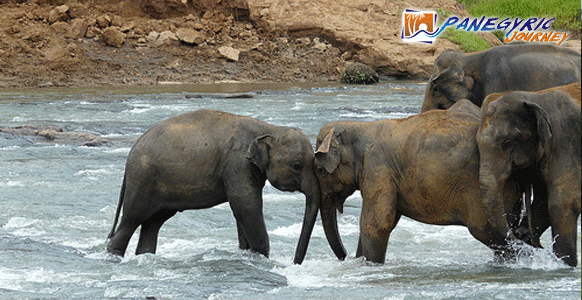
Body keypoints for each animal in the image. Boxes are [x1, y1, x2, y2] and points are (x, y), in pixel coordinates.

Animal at [106, 109, 322, 264]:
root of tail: (131, 152)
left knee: (152, 223)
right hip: (142, 180)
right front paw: (261, 257)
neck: (268, 128)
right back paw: (115, 256)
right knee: (131, 220)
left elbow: (242, 212)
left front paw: (247, 254)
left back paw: (145, 257)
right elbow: (246, 206)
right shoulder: (237, 163)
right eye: (297, 166)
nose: (295, 262)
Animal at [312, 109, 528, 264]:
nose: (345, 257)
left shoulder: (378, 167)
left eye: (320, 170)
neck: (359, 128)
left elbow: (376, 224)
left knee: (487, 232)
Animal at [480, 89, 582, 268]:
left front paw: (565, 265)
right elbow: (542, 202)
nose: (518, 233)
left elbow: (562, 203)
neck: (535, 97)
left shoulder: (567, 143)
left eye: (507, 142)